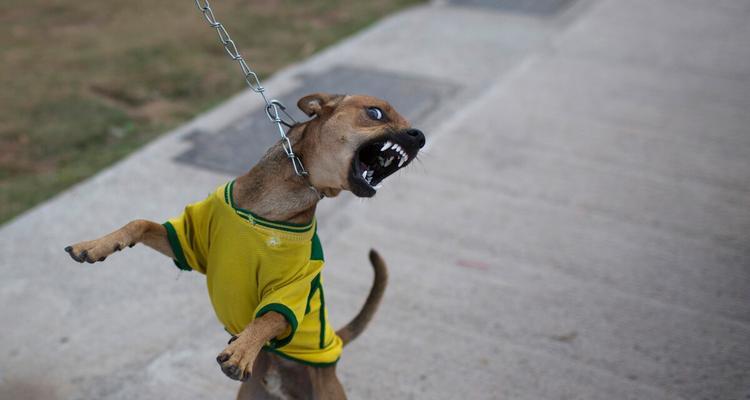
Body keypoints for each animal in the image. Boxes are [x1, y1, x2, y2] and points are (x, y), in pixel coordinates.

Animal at [63, 93, 428, 396]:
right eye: (375, 112)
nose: (420, 136)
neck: (269, 204)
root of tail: (334, 344)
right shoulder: (190, 243)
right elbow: (139, 223)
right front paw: (95, 246)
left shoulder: (292, 289)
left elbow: (269, 318)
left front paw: (242, 350)